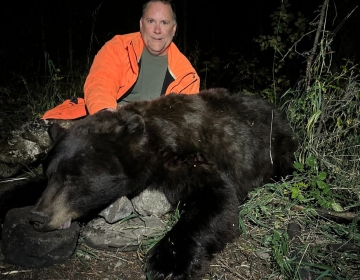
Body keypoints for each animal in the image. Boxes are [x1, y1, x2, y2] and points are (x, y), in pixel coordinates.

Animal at [28, 88, 298, 278]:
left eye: (74, 177)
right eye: (49, 175)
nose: (38, 217)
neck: (152, 140)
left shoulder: (187, 161)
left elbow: (217, 198)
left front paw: (167, 262)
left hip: (279, 147)